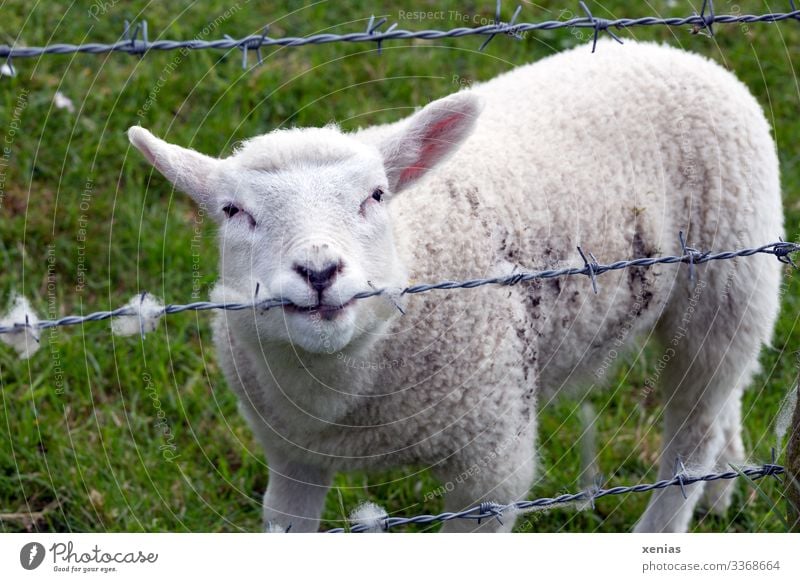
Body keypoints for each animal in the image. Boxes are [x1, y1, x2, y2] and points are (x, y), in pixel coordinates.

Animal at [128, 40, 784, 532]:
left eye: (376, 196)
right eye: (233, 211)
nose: (318, 273)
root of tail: (679, 53)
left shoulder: (490, 463)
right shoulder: (291, 457)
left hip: (730, 283)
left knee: (692, 435)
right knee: (724, 401)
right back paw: (724, 487)